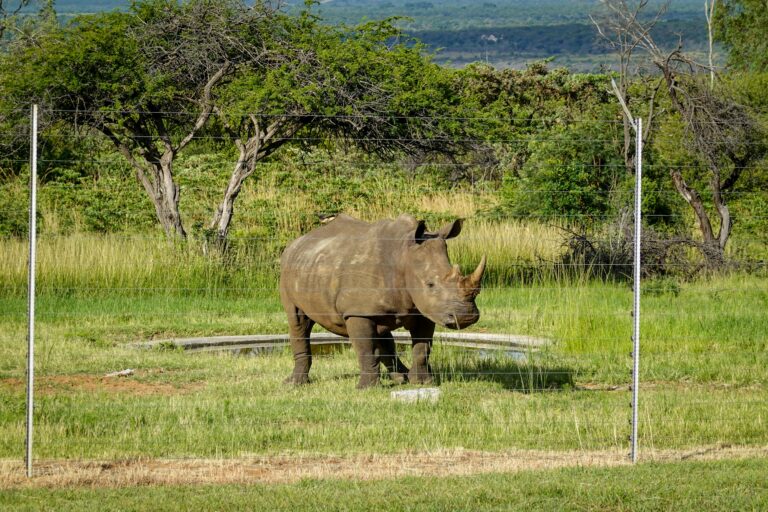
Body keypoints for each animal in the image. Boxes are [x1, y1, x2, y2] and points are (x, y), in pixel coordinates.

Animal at [279, 213, 486, 388]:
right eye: (430, 284)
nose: (466, 317)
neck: (403, 256)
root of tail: (295, 243)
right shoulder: (357, 311)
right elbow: (365, 348)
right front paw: (367, 388)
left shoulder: (425, 309)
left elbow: (422, 348)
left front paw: (422, 382)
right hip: (289, 269)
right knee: (297, 321)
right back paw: (294, 384)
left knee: (382, 333)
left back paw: (402, 377)